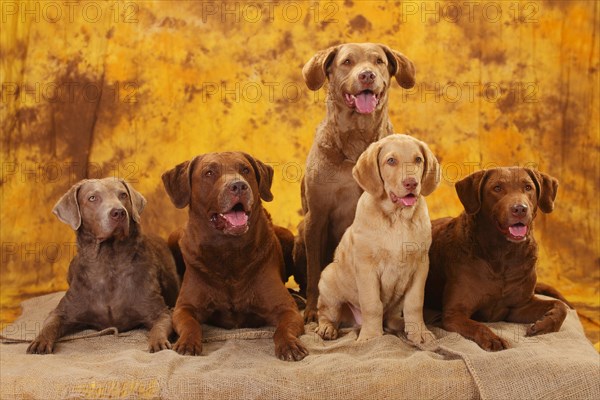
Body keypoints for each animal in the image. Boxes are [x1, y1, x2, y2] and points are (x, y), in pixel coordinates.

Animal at [28, 178, 178, 354]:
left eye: (123, 195)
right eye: (92, 198)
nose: (118, 212)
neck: (109, 261)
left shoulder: (159, 311)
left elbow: (159, 325)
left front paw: (159, 342)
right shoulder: (62, 311)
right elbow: (50, 324)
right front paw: (39, 341)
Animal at [162, 152, 308, 360]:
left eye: (245, 170)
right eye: (209, 172)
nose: (239, 186)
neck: (228, 250)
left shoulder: (286, 309)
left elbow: (282, 328)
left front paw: (289, 344)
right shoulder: (184, 308)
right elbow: (191, 324)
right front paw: (187, 342)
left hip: (288, 236)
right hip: (173, 238)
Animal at [296, 42, 418, 322]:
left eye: (378, 61)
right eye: (347, 61)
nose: (367, 75)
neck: (356, 141)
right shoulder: (316, 216)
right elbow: (314, 271)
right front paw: (312, 310)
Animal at [316, 134, 438, 344]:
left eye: (418, 159)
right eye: (391, 161)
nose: (411, 183)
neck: (398, 218)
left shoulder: (421, 265)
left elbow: (415, 303)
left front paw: (419, 332)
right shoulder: (366, 267)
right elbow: (372, 304)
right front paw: (372, 337)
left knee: (391, 316)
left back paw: (400, 324)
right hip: (328, 280)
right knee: (328, 313)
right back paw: (327, 328)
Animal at [424, 167, 568, 352]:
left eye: (528, 187)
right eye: (497, 188)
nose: (520, 209)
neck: (502, 256)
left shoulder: (518, 308)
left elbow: (561, 306)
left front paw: (544, 325)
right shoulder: (454, 314)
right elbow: (477, 325)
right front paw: (494, 339)